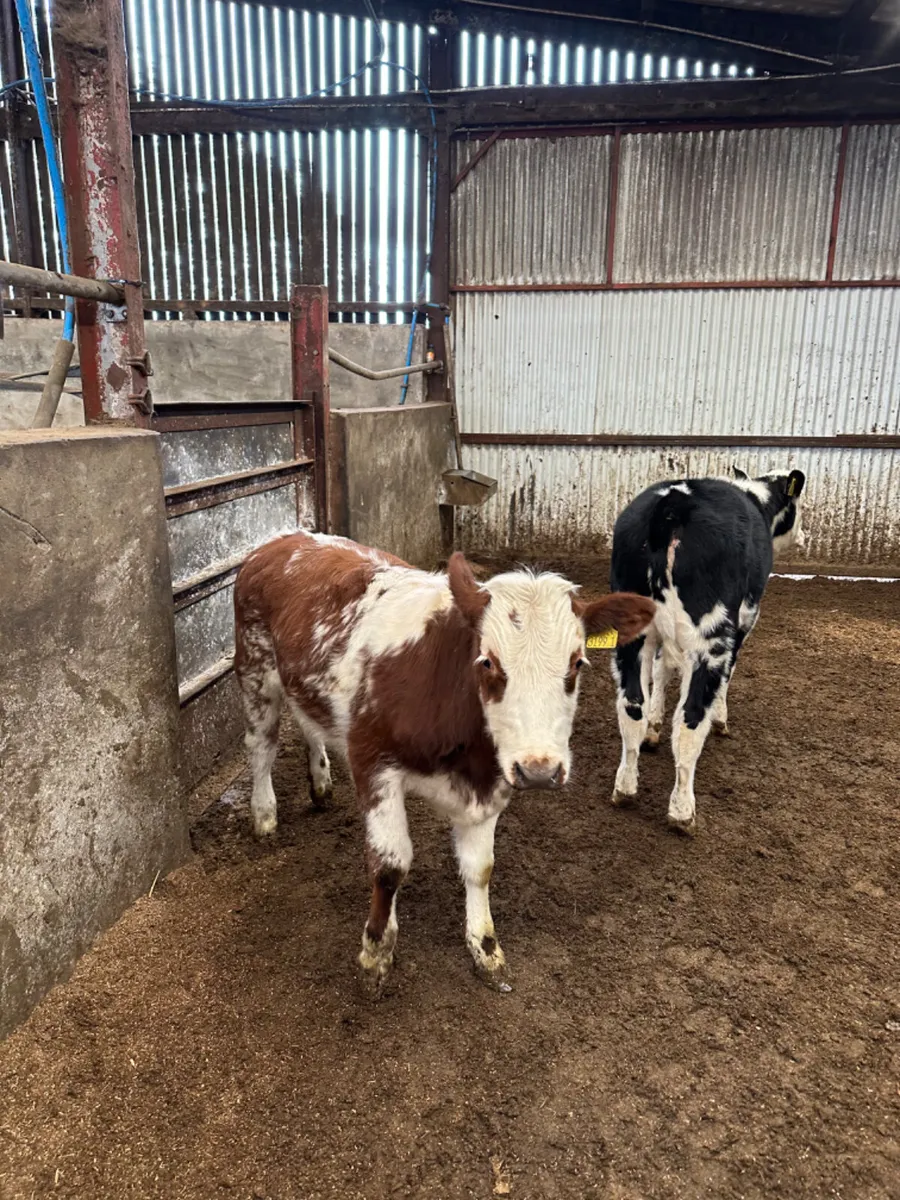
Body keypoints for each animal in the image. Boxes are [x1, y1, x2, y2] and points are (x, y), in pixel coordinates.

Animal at [233, 531, 655, 993]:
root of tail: (287, 539)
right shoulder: (373, 763)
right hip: (256, 674)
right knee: (261, 746)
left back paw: (320, 781)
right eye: (487, 662)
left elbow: (481, 868)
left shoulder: (493, 781)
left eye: (577, 663)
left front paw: (485, 946)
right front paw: (375, 952)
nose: (540, 770)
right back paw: (264, 815)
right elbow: (389, 866)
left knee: (308, 726)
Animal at [608, 467, 806, 837]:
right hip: (711, 638)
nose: (805, 536)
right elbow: (727, 678)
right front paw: (721, 719)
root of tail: (673, 503)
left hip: (632, 632)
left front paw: (654, 726)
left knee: (631, 705)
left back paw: (625, 787)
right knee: (690, 718)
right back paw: (682, 810)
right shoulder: (743, 622)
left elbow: (659, 673)